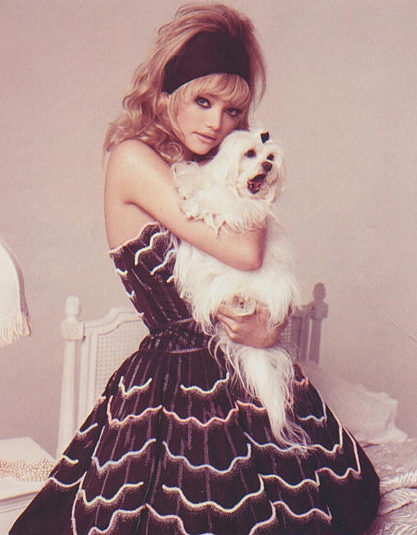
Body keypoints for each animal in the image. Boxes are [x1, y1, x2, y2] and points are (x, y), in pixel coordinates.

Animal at [172, 128, 304, 446]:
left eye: (271, 157)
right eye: (250, 154)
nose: (267, 166)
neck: (236, 189)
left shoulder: (245, 211)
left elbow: (222, 204)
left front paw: (197, 204)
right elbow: (198, 178)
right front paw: (189, 182)